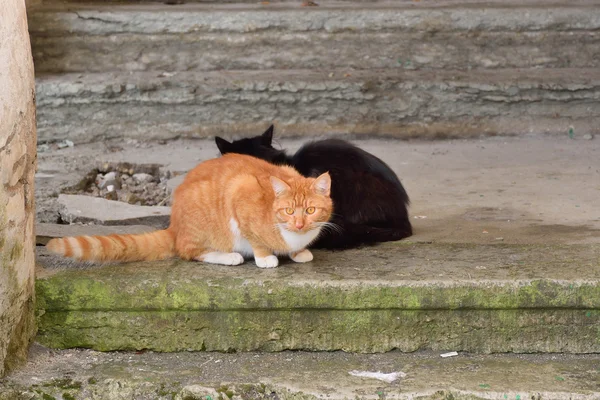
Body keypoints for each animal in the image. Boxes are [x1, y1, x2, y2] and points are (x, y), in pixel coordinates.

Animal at [46, 153, 332, 268]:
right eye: (288, 212)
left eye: (310, 210)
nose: (298, 225)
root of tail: (174, 227)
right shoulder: (240, 190)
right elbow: (256, 239)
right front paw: (265, 258)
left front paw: (298, 252)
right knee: (190, 251)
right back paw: (229, 257)